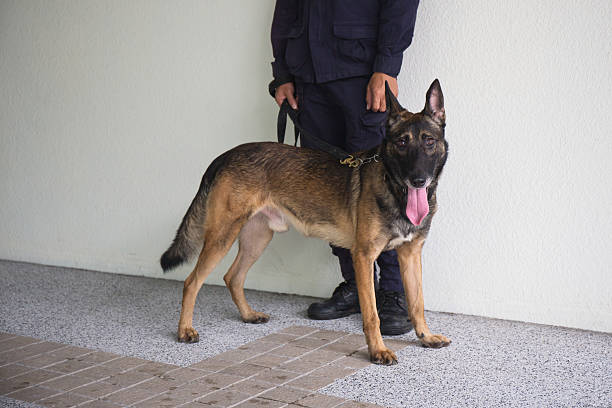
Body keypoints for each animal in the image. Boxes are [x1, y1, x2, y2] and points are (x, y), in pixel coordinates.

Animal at [160, 79, 452, 364]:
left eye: (428, 141)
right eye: (401, 143)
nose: (418, 180)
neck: (394, 188)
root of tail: (228, 154)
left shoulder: (410, 254)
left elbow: (417, 303)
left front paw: (425, 337)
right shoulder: (364, 256)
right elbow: (371, 314)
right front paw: (377, 350)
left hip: (256, 239)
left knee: (233, 277)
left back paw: (248, 315)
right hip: (222, 236)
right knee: (192, 281)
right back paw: (185, 330)